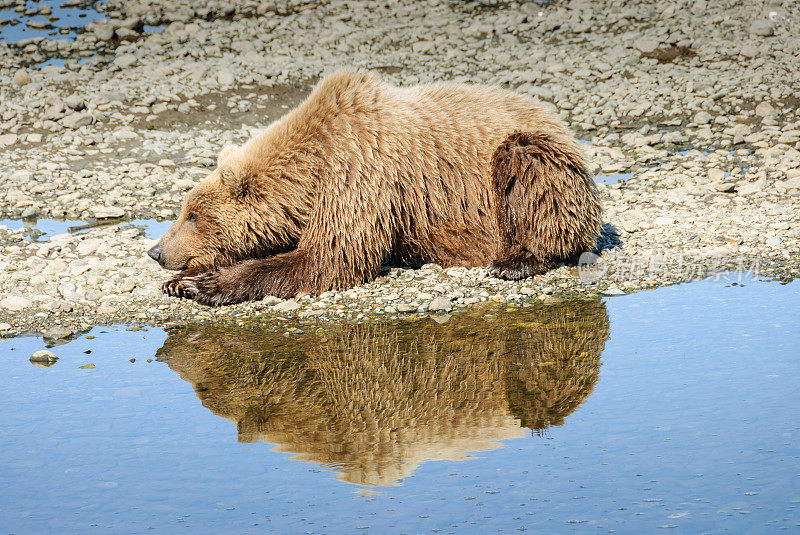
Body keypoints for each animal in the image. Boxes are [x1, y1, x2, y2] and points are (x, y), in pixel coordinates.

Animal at [148, 69, 600, 306]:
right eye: (183, 210)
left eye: (193, 215)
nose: (156, 252)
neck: (310, 175)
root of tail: (562, 124)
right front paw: (179, 281)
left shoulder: (360, 172)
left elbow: (329, 258)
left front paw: (204, 284)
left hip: (540, 160)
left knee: (529, 172)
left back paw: (514, 261)